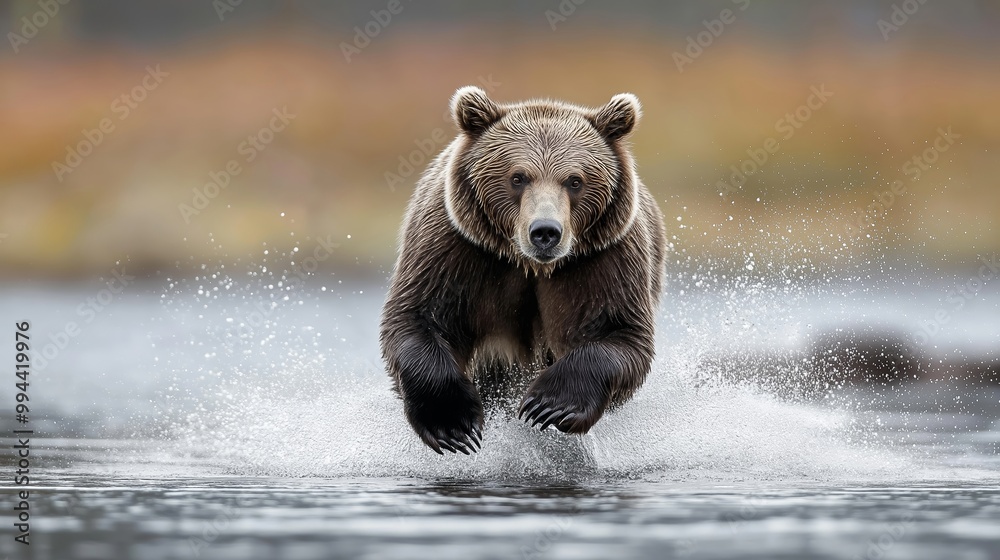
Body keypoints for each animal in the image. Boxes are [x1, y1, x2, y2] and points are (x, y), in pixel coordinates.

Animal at [379, 86, 666, 454]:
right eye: (518, 177)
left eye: (575, 180)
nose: (545, 231)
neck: (529, 264)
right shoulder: (454, 248)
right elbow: (419, 317)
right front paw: (453, 424)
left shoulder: (603, 258)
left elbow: (618, 332)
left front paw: (549, 404)